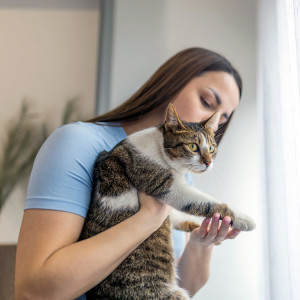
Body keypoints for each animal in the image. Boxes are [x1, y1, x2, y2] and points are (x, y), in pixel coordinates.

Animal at [79, 103, 255, 300]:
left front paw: (206, 229)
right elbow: (206, 202)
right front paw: (243, 219)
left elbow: (178, 217)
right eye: (193, 146)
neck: (160, 148)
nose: (208, 162)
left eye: (211, 148)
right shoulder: (166, 185)